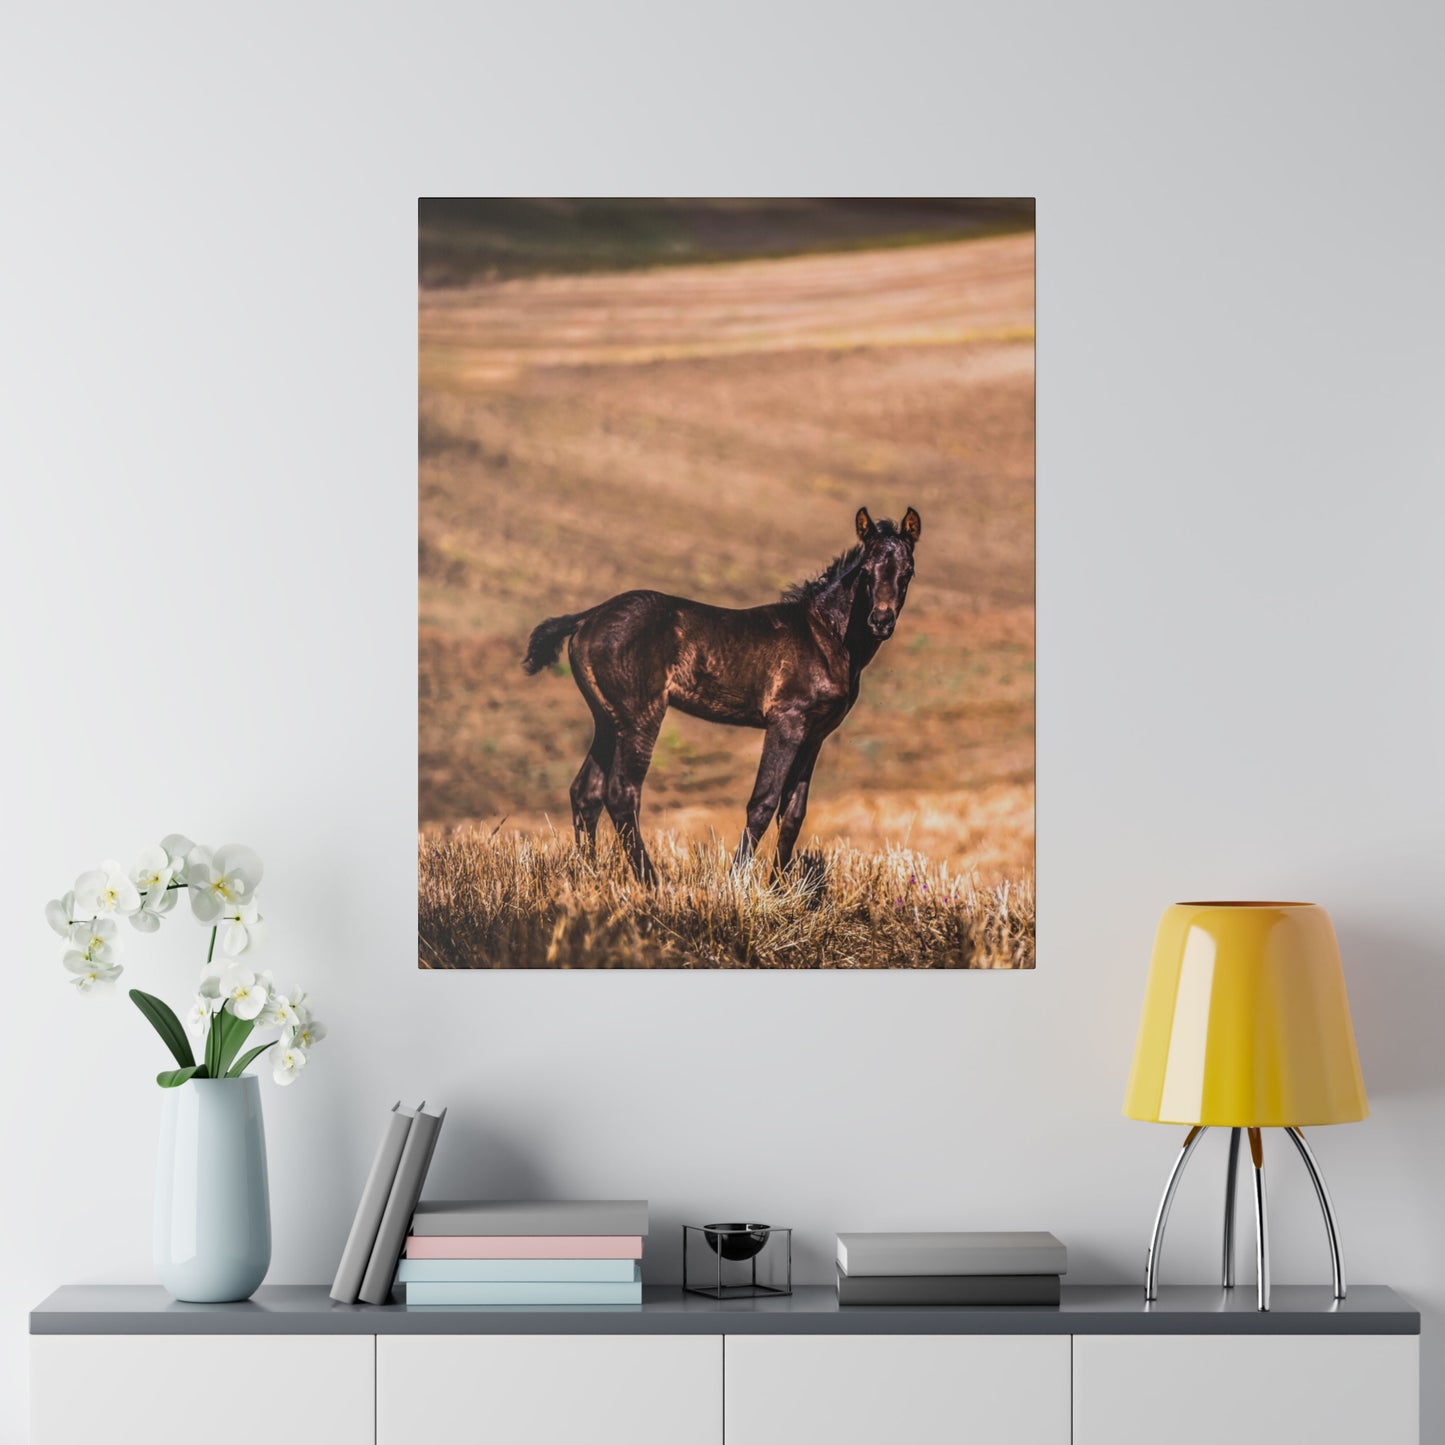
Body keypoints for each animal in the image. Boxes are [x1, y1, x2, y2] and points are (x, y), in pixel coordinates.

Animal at [525, 508, 919, 890]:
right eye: (866, 572)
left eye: (908, 572)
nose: (881, 621)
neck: (827, 635)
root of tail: (587, 617)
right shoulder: (787, 723)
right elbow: (763, 802)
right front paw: (737, 883)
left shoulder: (815, 735)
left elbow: (793, 812)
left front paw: (780, 889)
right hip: (640, 716)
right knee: (621, 792)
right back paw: (653, 883)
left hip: (607, 720)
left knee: (586, 792)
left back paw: (586, 876)